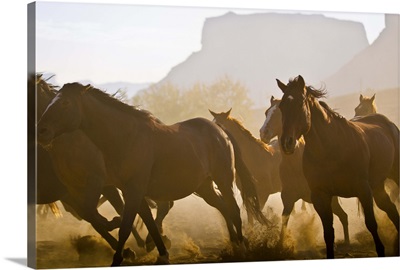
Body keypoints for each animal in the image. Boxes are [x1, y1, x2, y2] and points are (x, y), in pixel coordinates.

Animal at [35, 82, 266, 266]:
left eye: (65, 103)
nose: (41, 131)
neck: (126, 138)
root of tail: (220, 131)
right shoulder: (130, 191)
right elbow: (148, 222)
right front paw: (161, 254)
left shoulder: (133, 190)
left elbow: (126, 225)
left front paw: (119, 256)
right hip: (204, 186)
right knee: (222, 207)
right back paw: (234, 244)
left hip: (224, 179)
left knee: (233, 209)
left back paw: (242, 248)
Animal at [260, 96, 350, 245]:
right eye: (267, 112)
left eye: (280, 113)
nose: (263, 133)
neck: (295, 163)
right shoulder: (288, 198)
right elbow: (284, 220)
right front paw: (281, 244)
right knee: (343, 215)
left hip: (332, 200)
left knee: (343, 216)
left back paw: (347, 242)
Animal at [276, 75, 398, 258]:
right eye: (282, 106)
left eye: (299, 104)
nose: (286, 143)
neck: (330, 147)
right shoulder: (320, 196)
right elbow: (328, 233)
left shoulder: (363, 190)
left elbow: (371, 224)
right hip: (377, 186)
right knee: (391, 209)